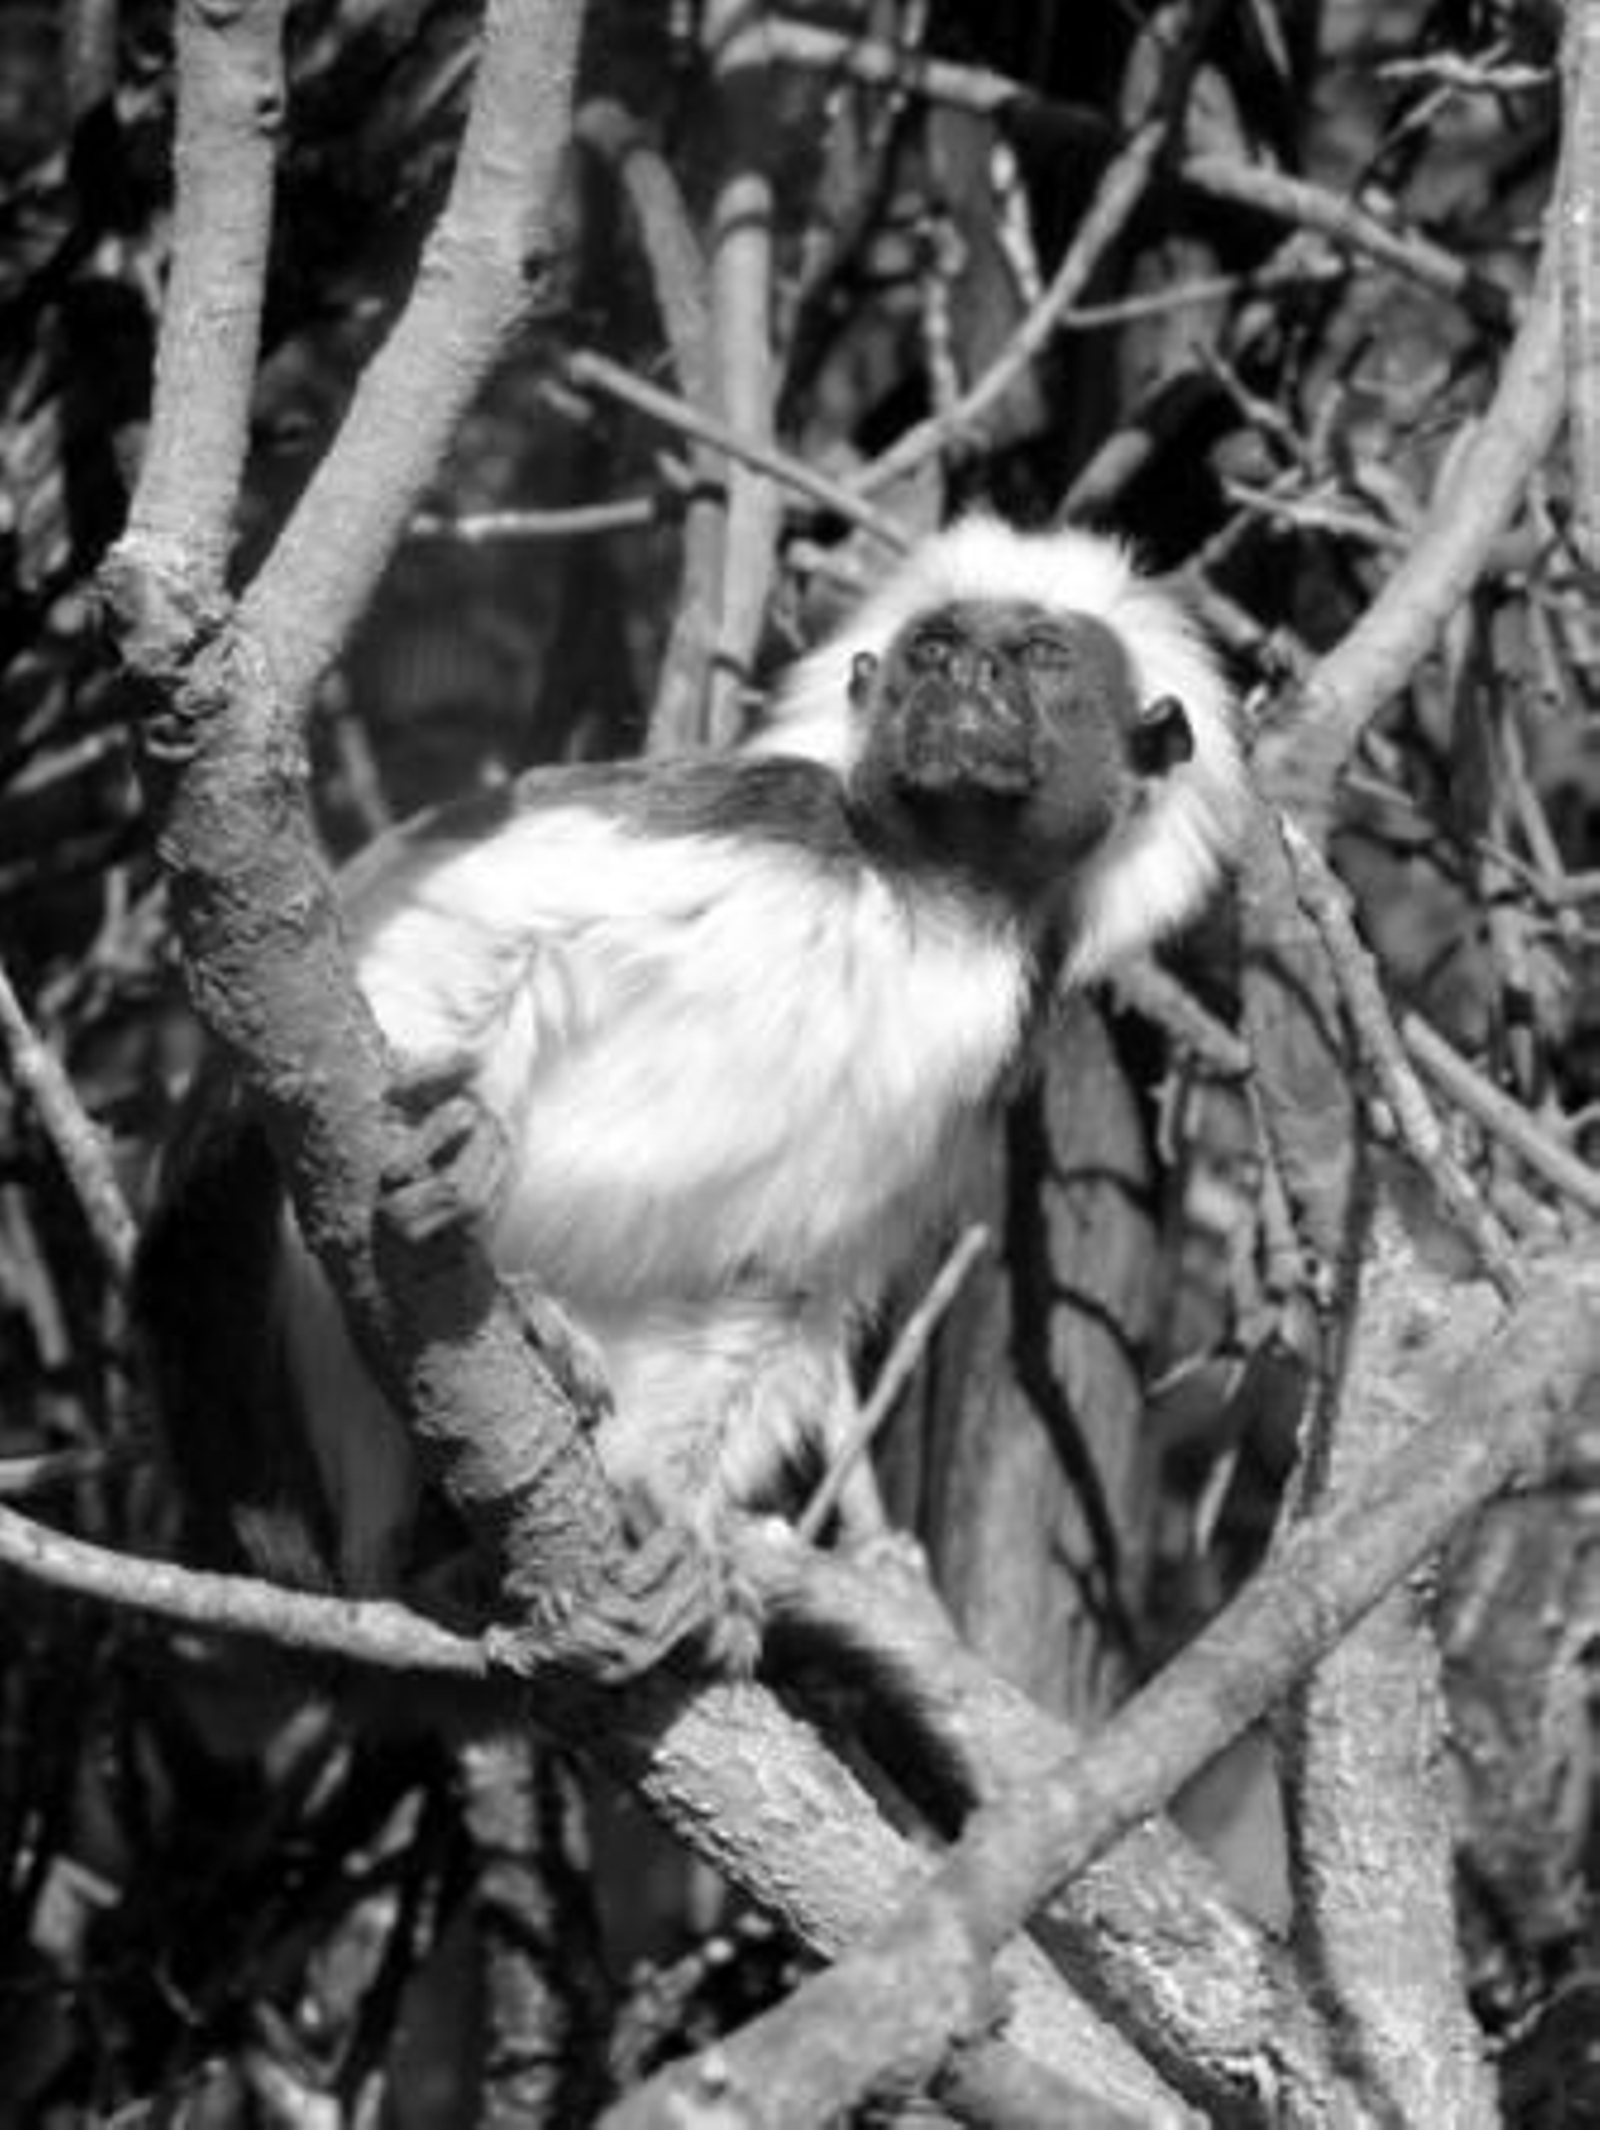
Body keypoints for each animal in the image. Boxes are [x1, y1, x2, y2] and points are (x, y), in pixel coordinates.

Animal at [136, 516, 1246, 1673]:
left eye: (1036, 656)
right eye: (934, 648)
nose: (965, 676)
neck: (928, 897)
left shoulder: (989, 1059)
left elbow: (787, 1276)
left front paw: (668, 1511)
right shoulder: (764, 815)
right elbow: (472, 920)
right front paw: (462, 1129)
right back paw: (506, 1346)